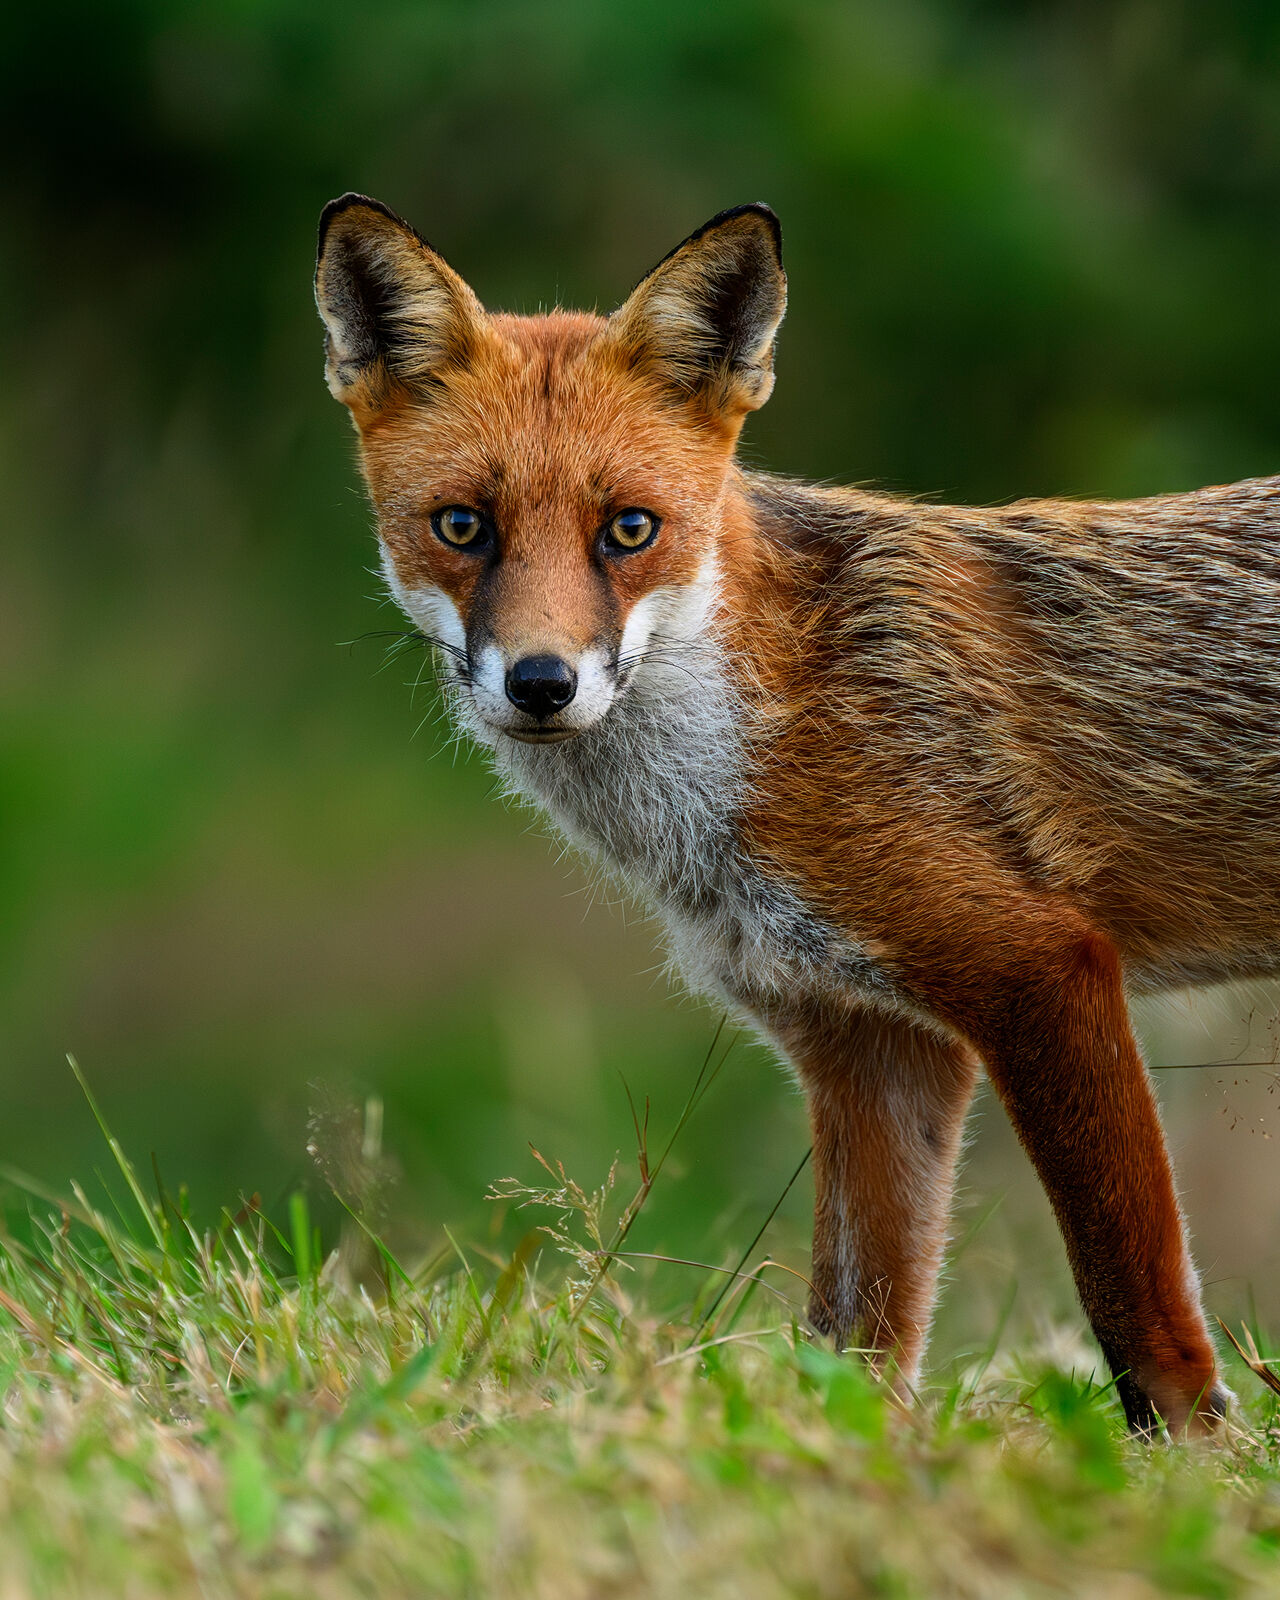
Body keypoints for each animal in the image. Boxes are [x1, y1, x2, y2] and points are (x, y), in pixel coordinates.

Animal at [315, 192, 1280, 1436]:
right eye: (462, 526)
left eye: (628, 530)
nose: (539, 683)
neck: (767, 729)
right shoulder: (869, 1041)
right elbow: (856, 1337)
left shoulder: (1038, 970)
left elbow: (1133, 1299)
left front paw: (1186, 1458)